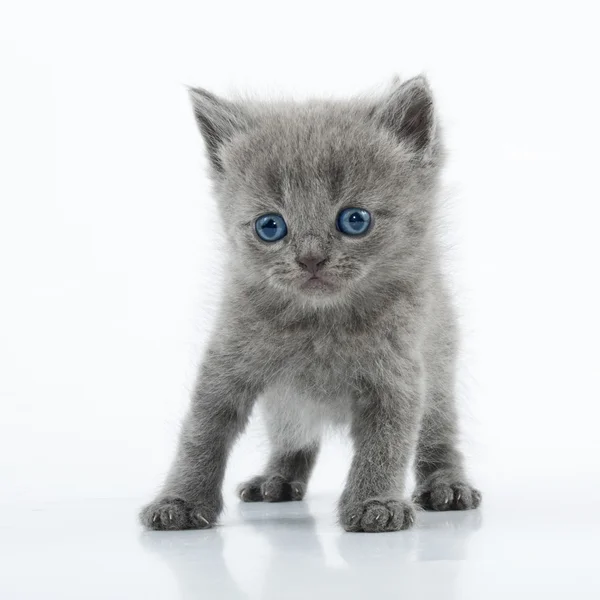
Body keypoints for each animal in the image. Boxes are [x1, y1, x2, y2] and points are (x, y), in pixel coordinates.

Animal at [138, 76, 480, 536]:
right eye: (270, 226)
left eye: (355, 219)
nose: (311, 258)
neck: (320, 326)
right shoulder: (226, 362)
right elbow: (201, 433)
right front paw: (180, 500)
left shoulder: (398, 373)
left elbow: (387, 441)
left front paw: (375, 502)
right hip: (284, 404)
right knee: (294, 437)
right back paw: (277, 479)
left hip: (440, 366)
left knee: (437, 433)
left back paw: (447, 484)